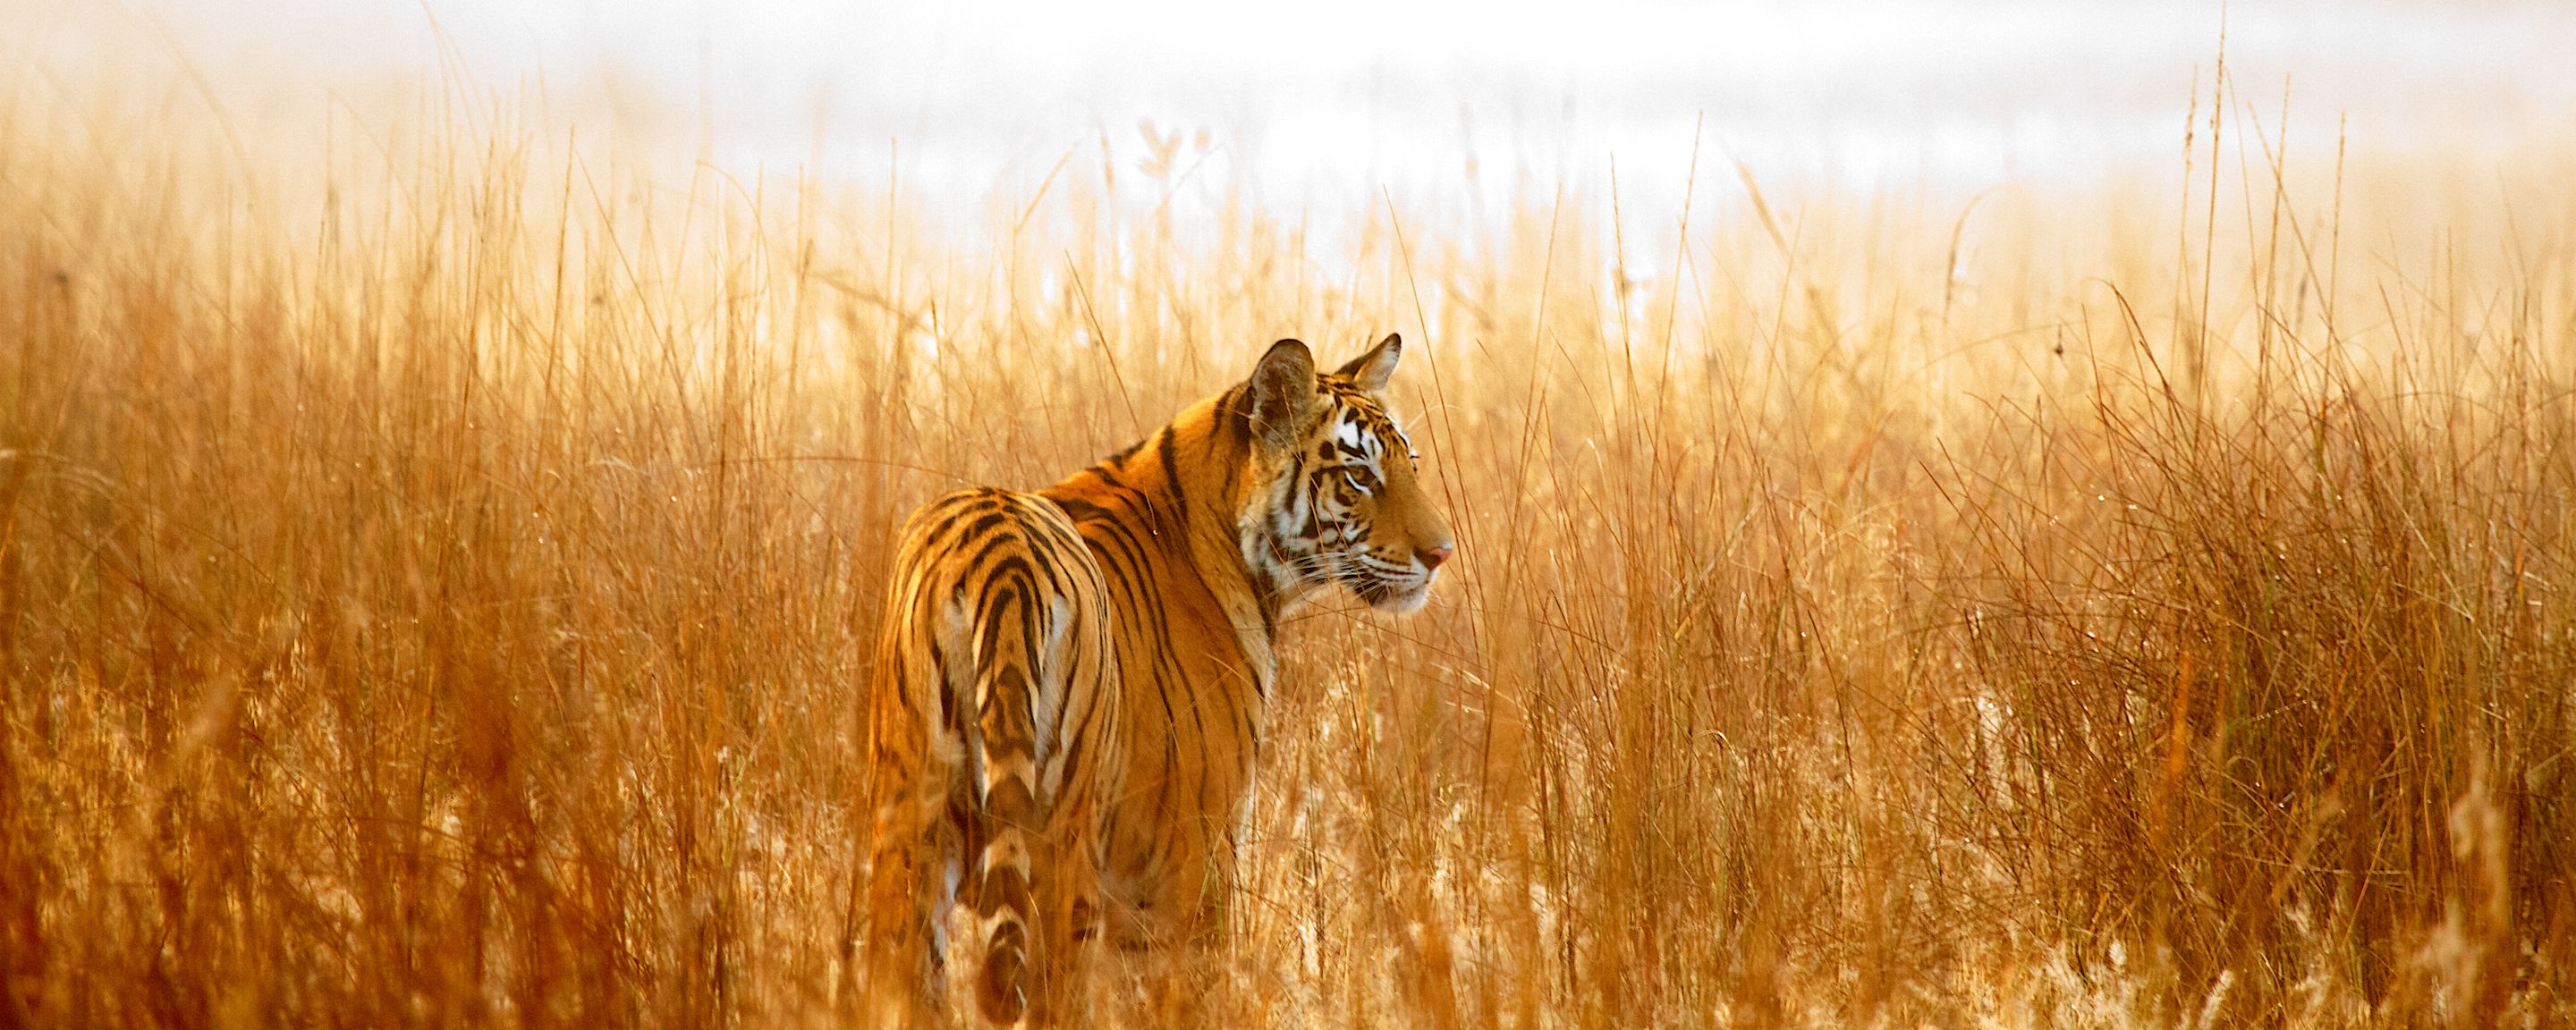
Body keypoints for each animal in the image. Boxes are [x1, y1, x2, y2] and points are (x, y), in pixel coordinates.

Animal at [860, 334, 1455, 1027]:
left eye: (1411, 464)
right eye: (1359, 476)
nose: (1441, 554)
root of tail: (1002, 556)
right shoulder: (1191, 863)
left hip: (907, 831)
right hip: (1062, 851)